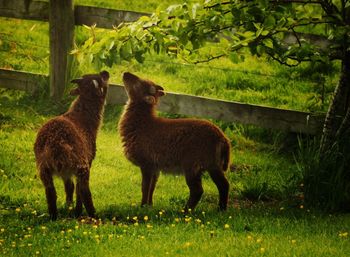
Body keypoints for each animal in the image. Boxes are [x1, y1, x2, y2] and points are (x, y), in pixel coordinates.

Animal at [33, 71, 109, 219]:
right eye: (101, 79)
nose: (105, 72)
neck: (84, 118)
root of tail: (56, 143)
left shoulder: (66, 172)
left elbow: (69, 187)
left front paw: (69, 207)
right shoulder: (88, 161)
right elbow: (78, 189)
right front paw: (76, 211)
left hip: (43, 167)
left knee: (51, 191)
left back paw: (54, 217)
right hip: (80, 164)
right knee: (84, 190)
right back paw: (92, 215)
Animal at [119, 71, 231, 210]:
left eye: (140, 83)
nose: (125, 73)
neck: (143, 124)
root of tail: (223, 139)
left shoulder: (147, 162)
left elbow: (145, 187)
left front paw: (143, 206)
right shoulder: (155, 166)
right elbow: (152, 186)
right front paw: (150, 205)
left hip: (192, 163)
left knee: (197, 190)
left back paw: (185, 211)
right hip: (213, 164)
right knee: (224, 185)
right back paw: (221, 209)